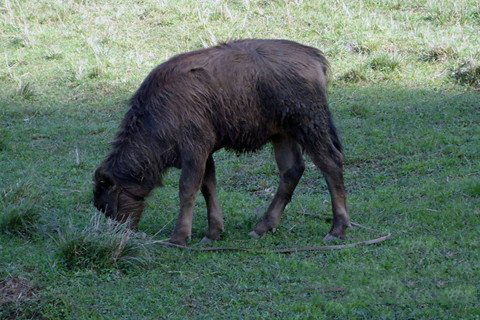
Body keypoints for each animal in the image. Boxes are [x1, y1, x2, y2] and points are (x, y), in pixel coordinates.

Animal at [92, 39, 350, 245]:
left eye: (106, 205)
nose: (119, 234)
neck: (158, 111)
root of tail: (314, 56)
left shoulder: (195, 149)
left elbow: (187, 189)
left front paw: (179, 237)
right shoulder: (205, 153)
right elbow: (208, 187)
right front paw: (213, 232)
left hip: (309, 126)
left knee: (331, 163)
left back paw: (336, 230)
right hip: (283, 134)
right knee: (292, 170)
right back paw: (262, 227)